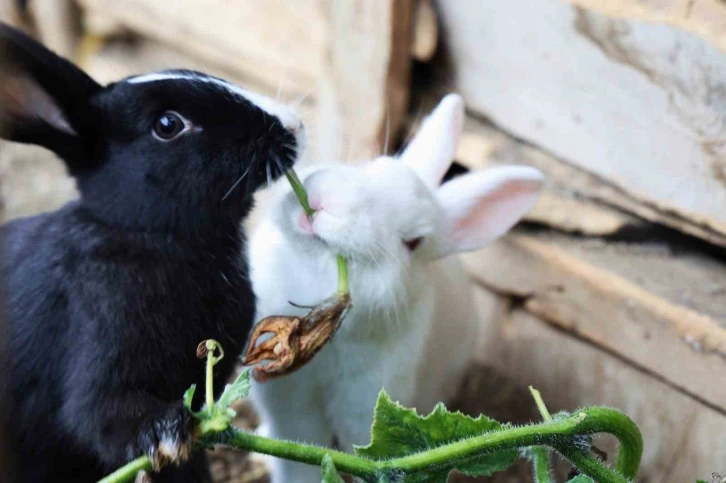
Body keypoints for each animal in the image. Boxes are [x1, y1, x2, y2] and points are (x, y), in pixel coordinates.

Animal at [0, 23, 304, 483]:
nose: (293, 125)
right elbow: (99, 415)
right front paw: (165, 435)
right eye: (167, 124)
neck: (153, 237)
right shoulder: (99, 357)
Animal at [247, 94, 544, 483]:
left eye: (413, 242)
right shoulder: (289, 404)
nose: (326, 202)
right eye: (372, 166)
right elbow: (296, 459)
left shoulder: (364, 408)